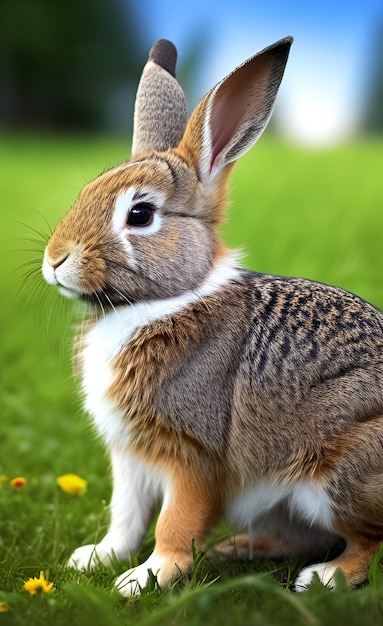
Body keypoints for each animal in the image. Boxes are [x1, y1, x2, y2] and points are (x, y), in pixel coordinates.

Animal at [41, 37, 383, 596]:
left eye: (140, 214)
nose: (55, 259)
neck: (162, 302)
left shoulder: (194, 456)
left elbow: (174, 523)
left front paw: (145, 579)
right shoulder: (130, 457)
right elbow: (126, 516)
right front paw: (95, 559)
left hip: (341, 473)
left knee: (367, 540)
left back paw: (325, 577)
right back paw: (239, 549)